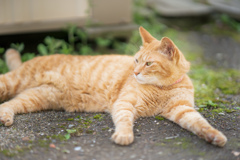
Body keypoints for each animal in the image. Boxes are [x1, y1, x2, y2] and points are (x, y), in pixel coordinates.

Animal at [0, 26, 227, 147]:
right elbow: (125, 120)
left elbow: (199, 123)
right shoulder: (125, 103)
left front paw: (214, 136)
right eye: (136, 60)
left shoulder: (182, 109)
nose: (135, 73)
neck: (163, 88)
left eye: (148, 63)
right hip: (14, 82)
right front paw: (124, 135)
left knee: (10, 104)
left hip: (37, 97)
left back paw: (5, 117)